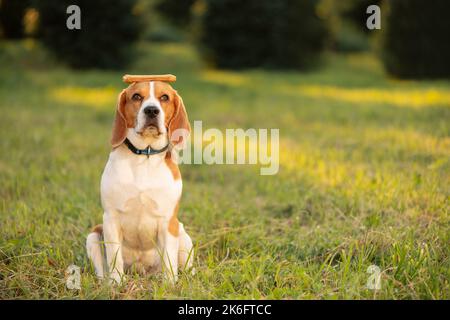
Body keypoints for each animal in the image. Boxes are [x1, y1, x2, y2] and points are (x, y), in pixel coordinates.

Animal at [86, 79, 193, 284]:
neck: (145, 156)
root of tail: (141, 270)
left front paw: (169, 285)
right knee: (101, 269)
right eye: (136, 96)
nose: (151, 110)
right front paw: (116, 283)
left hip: (183, 235)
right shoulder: (110, 219)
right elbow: (114, 257)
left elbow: (169, 259)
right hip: (93, 235)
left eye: (164, 97)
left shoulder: (168, 221)